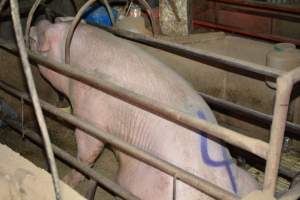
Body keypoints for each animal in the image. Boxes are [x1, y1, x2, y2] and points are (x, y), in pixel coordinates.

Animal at [29, 19, 256, 200]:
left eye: (35, 41)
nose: (33, 25)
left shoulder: (89, 103)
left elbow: (89, 147)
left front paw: (67, 180)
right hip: (242, 179)